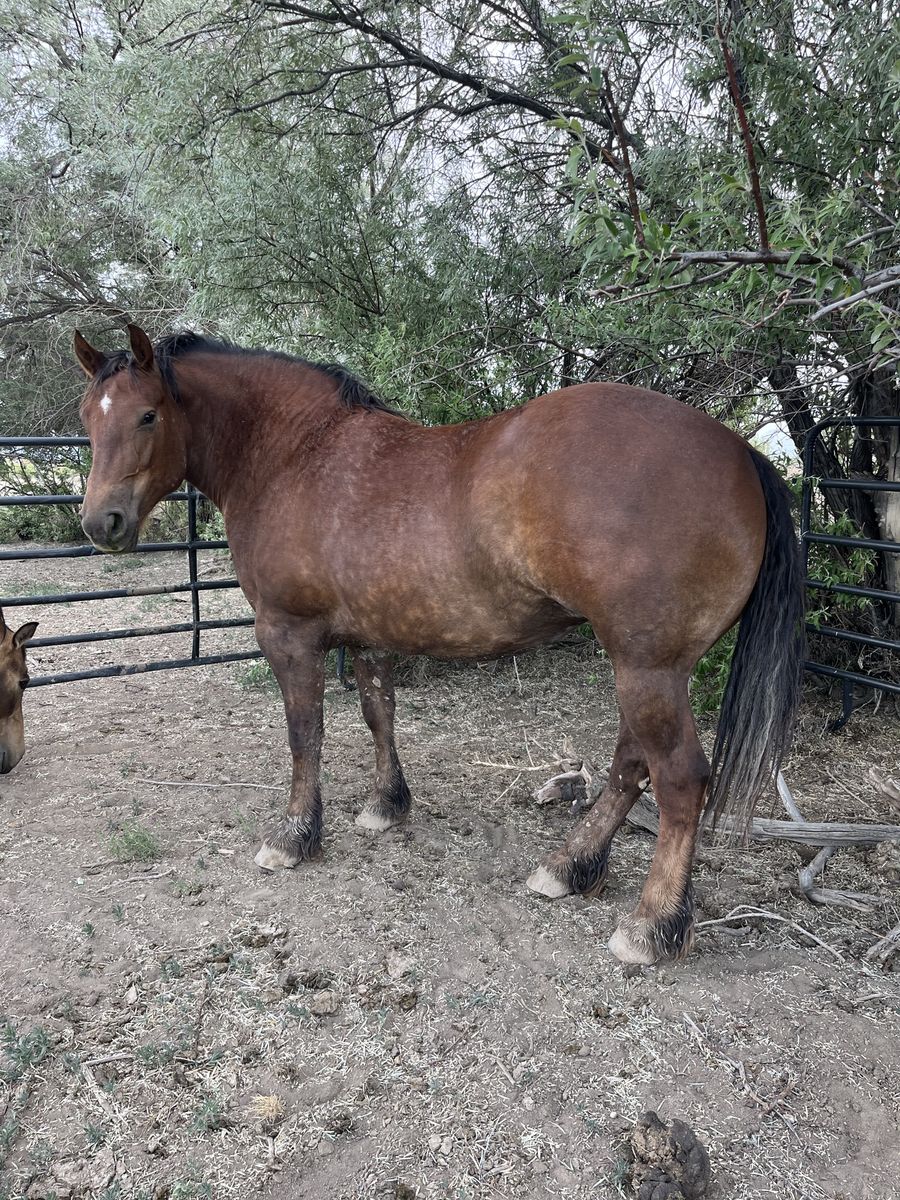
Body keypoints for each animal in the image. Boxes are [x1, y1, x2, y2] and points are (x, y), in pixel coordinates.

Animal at [74, 323, 804, 965]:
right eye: (88, 415)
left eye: (147, 416)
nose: (100, 522)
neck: (294, 454)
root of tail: (741, 453)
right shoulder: (367, 636)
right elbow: (378, 715)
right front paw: (385, 805)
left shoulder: (289, 635)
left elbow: (305, 736)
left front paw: (295, 836)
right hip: (647, 667)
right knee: (631, 765)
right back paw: (571, 867)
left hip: (647, 667)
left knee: (678, 780)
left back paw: (650, 927)